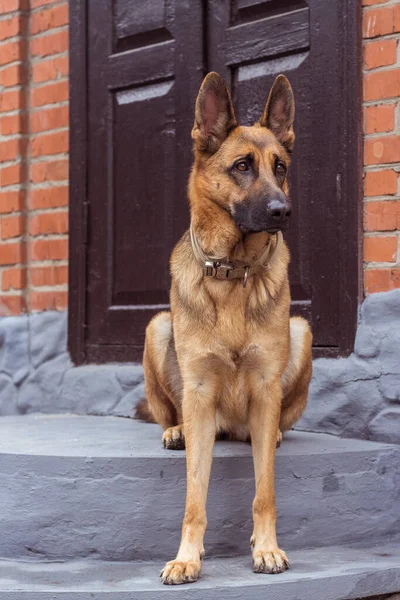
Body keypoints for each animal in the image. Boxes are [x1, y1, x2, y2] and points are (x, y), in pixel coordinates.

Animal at [136, 72, 314, 584]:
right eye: (242, 166)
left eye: (281, 167)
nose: (283, 210)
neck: (233, 273)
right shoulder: (197, 392)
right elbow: (195, 496)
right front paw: (187, 556)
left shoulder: (266, 385)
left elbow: (264, 491)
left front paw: (267, 547)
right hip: (158, 328)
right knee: (169, 413)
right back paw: (174, 431)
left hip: (301, 331)